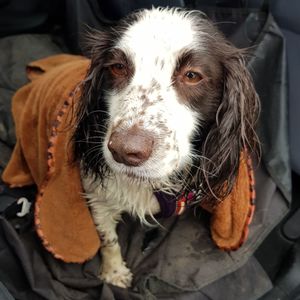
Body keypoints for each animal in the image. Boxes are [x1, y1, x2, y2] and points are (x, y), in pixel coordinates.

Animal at [72, 7, 258, 288]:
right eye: (117, 67)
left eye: (192, 75)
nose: (125, 151)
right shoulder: (97, 196)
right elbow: (108, 238)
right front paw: (114, 273)